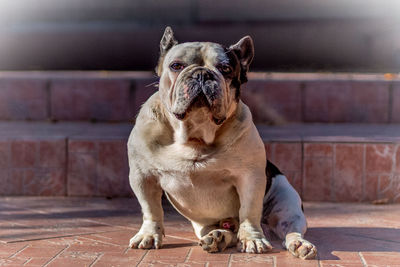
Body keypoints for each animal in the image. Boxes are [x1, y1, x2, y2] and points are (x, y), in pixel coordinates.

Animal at [126, 26, 318, 260]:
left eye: (225, 68)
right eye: (176, 66)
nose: (202, 74)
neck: (196, 134)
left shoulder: (250, 178)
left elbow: (249, 211)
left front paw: (253, 239)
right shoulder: (142, 176)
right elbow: (151, 209)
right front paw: (149, 234)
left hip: (287, 204)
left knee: (289, 228)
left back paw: (299, 244)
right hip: (202, 224)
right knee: (225, 232)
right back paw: (218, 238)